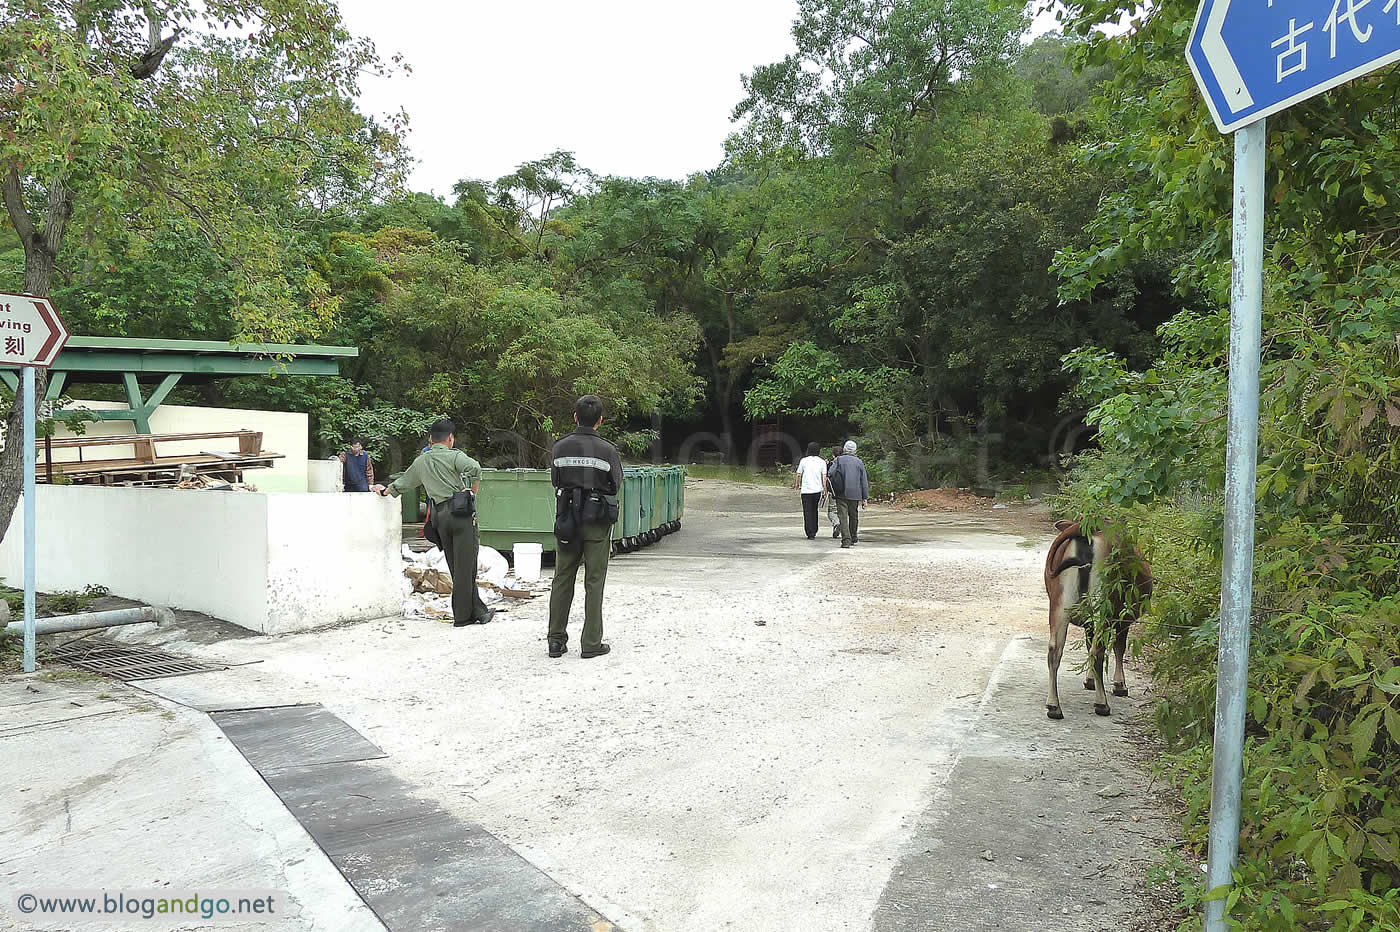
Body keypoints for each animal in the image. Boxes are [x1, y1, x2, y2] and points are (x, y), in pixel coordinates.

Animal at [1047, 517, 1153, 713]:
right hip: (1103, 607)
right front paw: (1120, 685)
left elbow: (1089, 645)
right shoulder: (1122, 618)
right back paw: (1101, 703)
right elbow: (1119, 648)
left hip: (1060, 606)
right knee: (1098, 651)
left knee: (1055, 650)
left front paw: (1089, 680)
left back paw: (1053, 706)